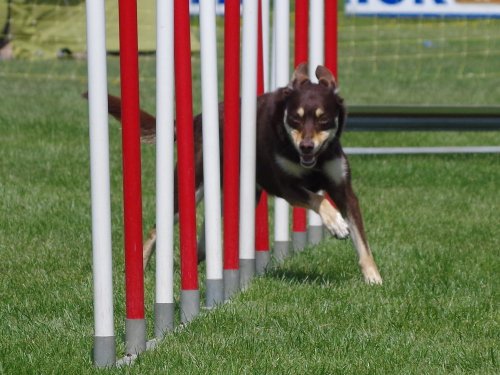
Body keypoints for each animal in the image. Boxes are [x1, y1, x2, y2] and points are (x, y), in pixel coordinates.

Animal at [103, 63, 380, 284]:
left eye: (323, 120)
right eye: (296, 119)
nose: (306, 146)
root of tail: (197, 119)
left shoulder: (343, 189)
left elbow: (361, 239)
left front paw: (373, 277)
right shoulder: (285, 186)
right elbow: (319, 199)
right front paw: (336, 225)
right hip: (192, 186)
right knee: (155, 230)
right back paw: (138, 271)